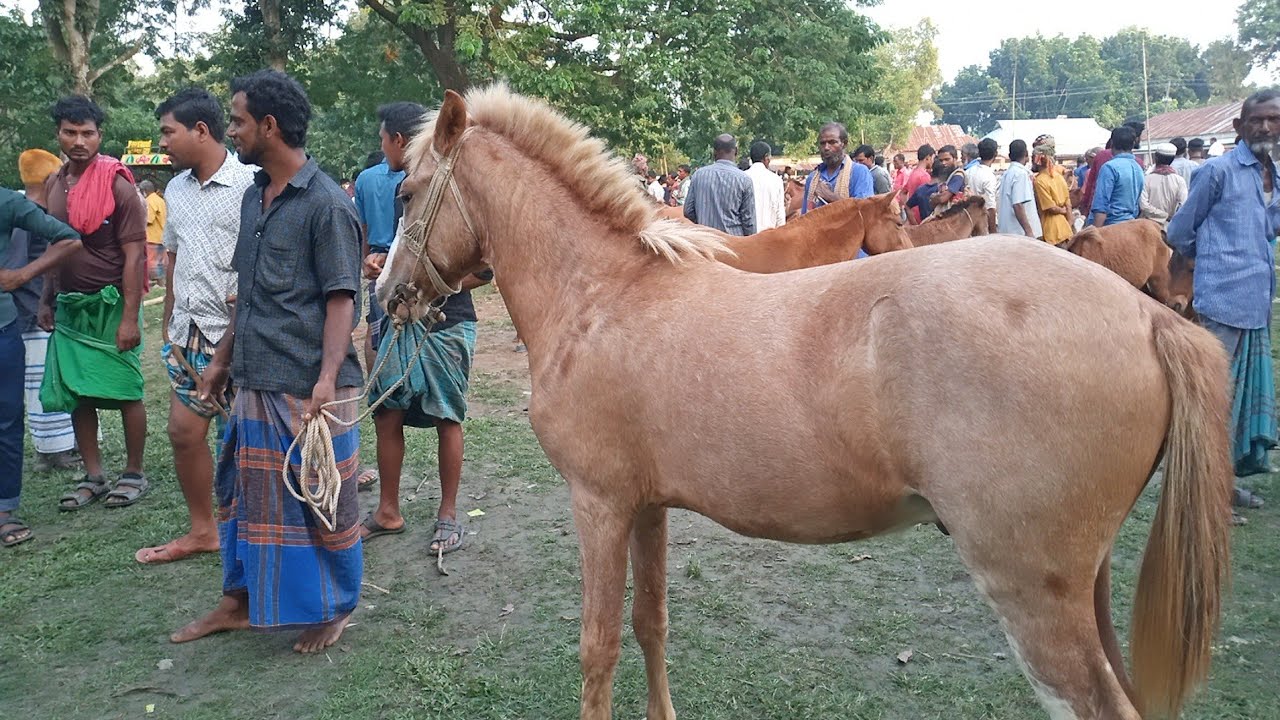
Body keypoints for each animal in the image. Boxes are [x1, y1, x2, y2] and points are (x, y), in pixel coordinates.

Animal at [381, 86, 1232, 720]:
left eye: (408, 190)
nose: (388, 293)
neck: (604, 293)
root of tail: (1149, 317)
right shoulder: (646, 507)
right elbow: (651, 625)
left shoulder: (599, 505)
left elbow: (598, 649)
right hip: (1088, 590)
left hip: (1035, 595)